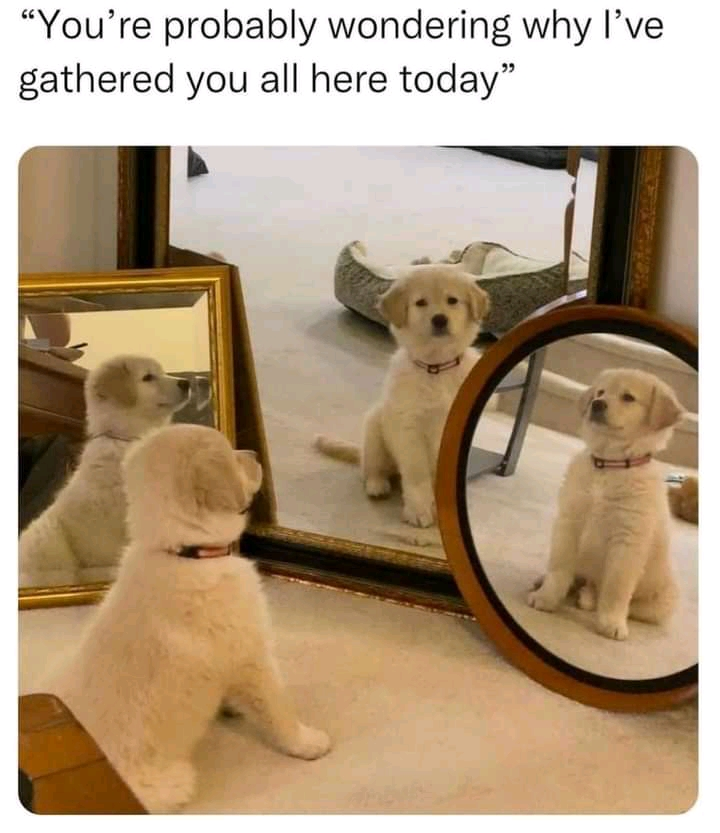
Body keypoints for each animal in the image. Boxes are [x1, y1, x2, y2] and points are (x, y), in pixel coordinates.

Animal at [42, 426, 330, 808]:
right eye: (230, 452)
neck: (185, 552)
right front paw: (306, 742)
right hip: (174, 781)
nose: (254, 453)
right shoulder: (251, 655)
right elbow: (276, 705)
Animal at [316, 266, 490, 528]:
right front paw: (419, 510)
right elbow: (417, 475)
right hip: (375, 429)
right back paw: (377, 485)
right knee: (371, 470)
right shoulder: (409, 429)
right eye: (420, 303)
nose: (440, 319)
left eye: (452, 300)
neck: (436, 367)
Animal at [528, 368, 688, 640]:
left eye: (628, 397)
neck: (610, 464)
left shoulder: (628, 539)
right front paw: (546, 597)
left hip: (662, 602)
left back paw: (591, 599)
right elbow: (559, 567)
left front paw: (612, 622)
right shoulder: (570, 521)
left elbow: (616, 586)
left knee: (621, 601)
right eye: (600, 392)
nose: (597, 404)